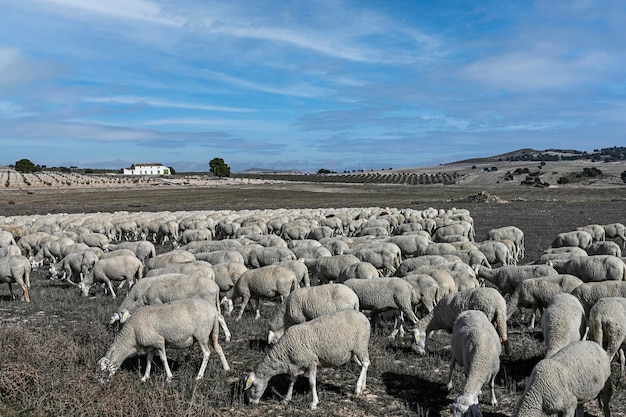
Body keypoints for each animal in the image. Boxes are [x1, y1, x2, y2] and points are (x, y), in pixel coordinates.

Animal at [98, 298, 230, 382]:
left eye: (103, 370)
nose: (100, 383)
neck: (132, 336)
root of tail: (213, 311)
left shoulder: (159, 341)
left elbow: (163, 359)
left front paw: (169, 377)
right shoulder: (151, 346)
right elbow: (149, 360)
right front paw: (144, 378)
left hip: (201, 335)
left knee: (207, 353)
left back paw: (199, 376)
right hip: (211, 333)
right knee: (218, 348)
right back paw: (226, 368)